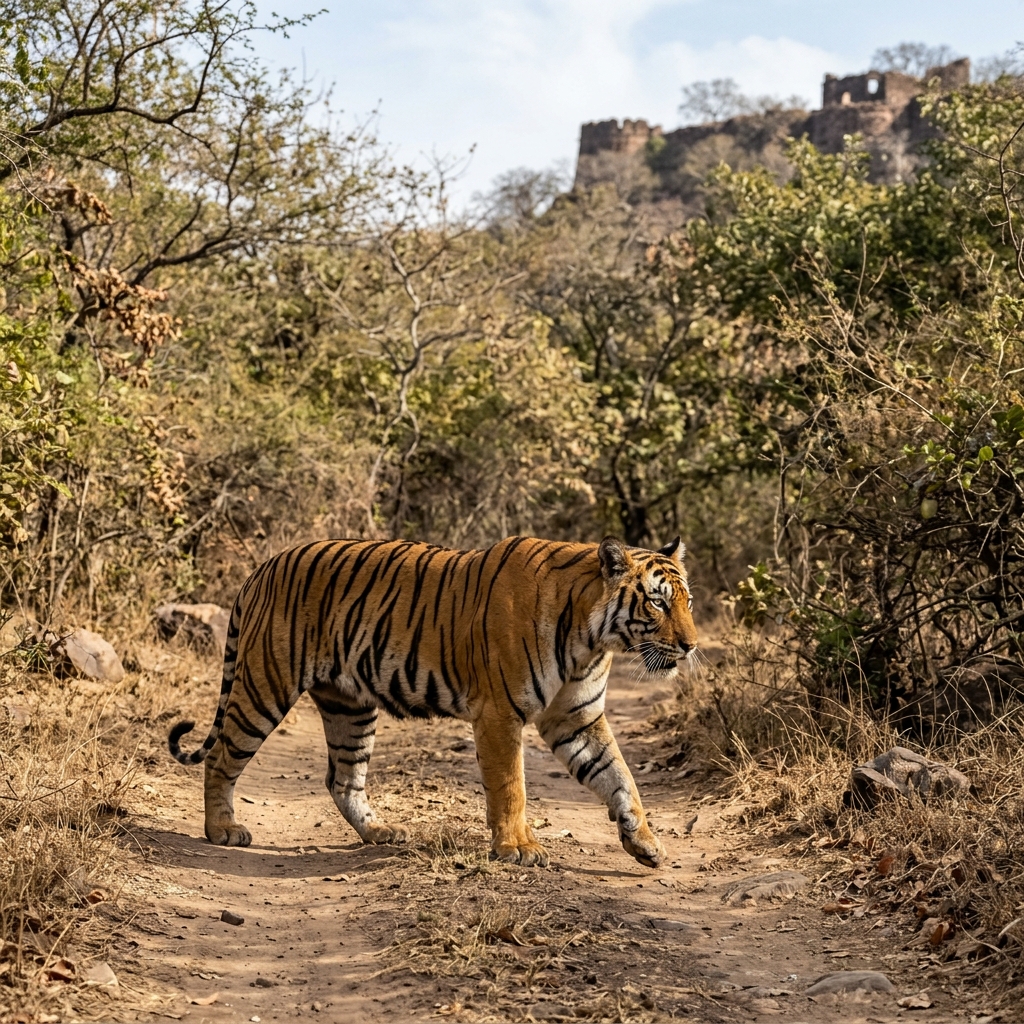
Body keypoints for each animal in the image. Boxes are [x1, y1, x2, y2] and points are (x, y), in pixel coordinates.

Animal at [168, 535, 699, 868]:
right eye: (657, 601)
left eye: (687, 601)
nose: (692, 645)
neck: (593, 638)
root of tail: (262, 568)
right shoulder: (499, 713)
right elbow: (511, 786)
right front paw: (518, 848)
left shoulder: (577, 718)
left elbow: (619, 776)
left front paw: (646, 843)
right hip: (265, 684)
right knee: (220, 756)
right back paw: (223, 830)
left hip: (350, 705)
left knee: (343, 779)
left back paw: (381, 833)